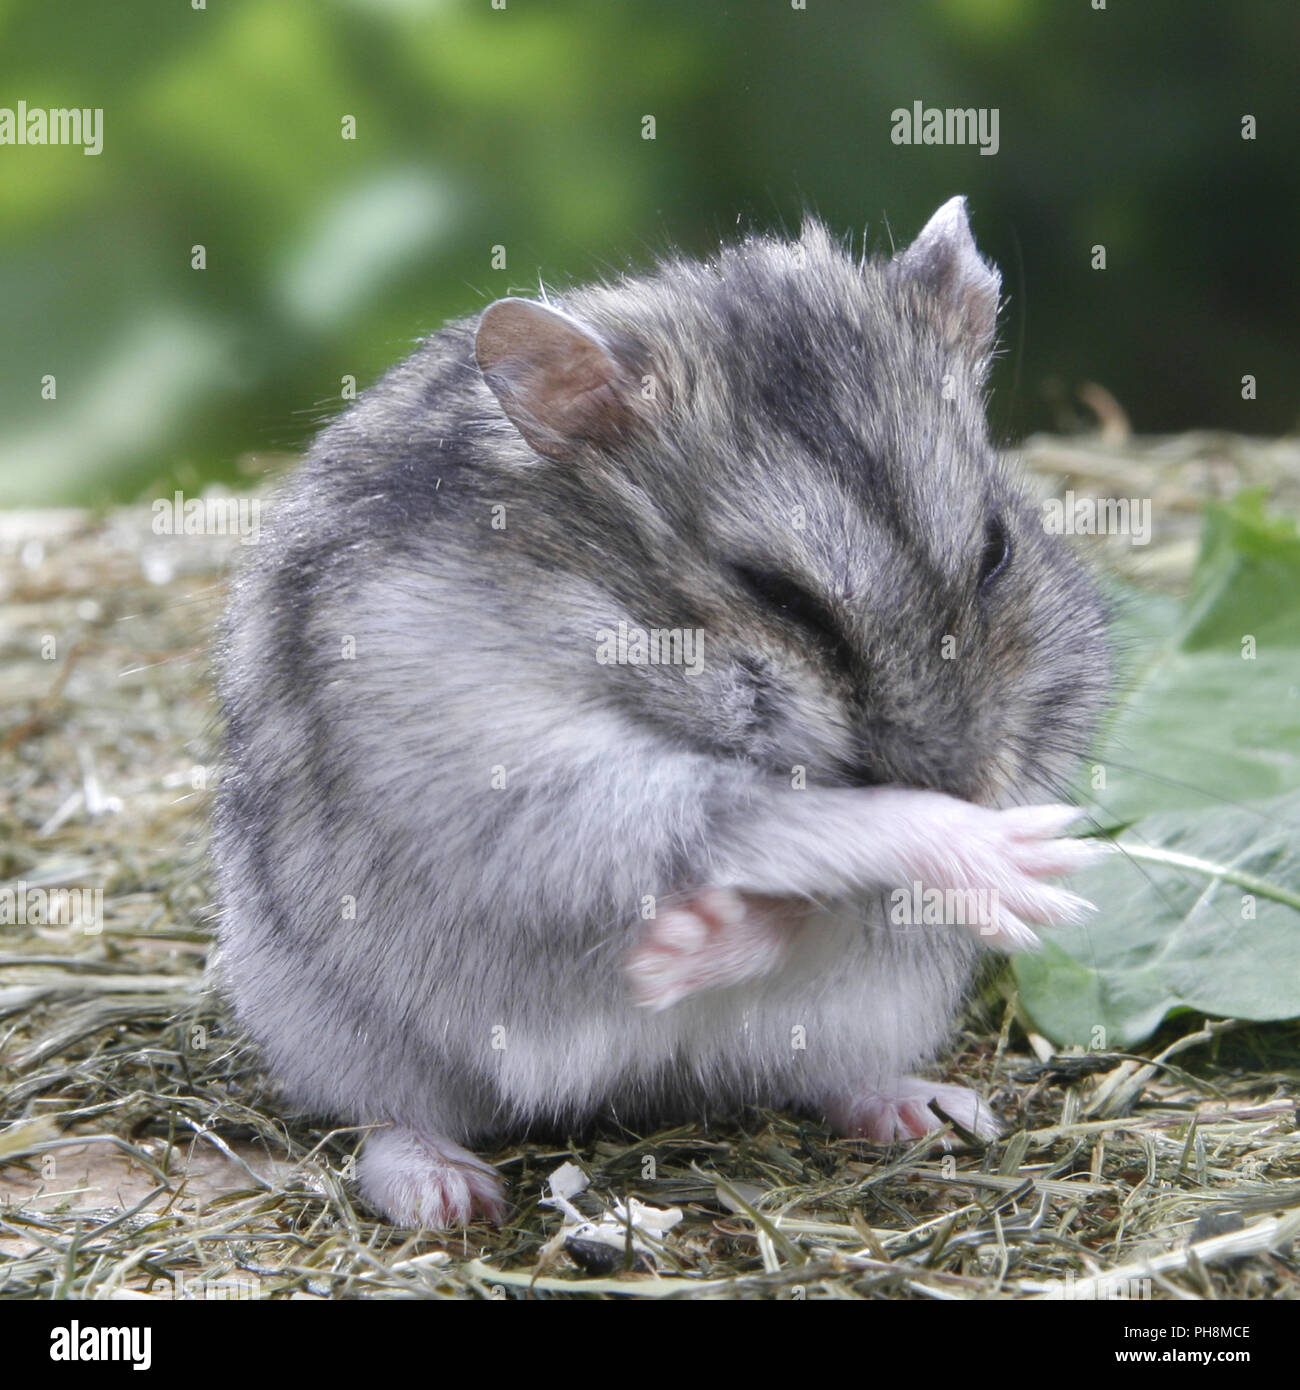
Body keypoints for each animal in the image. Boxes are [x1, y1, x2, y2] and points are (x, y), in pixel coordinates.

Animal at [212, 196, 1110, 1229]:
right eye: (776, 594)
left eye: (997, 551)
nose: (971, 785)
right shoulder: (523, 772)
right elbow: (787, 818)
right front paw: (1032, 862)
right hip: (333, 1027)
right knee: (386, 1116)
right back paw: (450, 1184)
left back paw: (919, 1105)